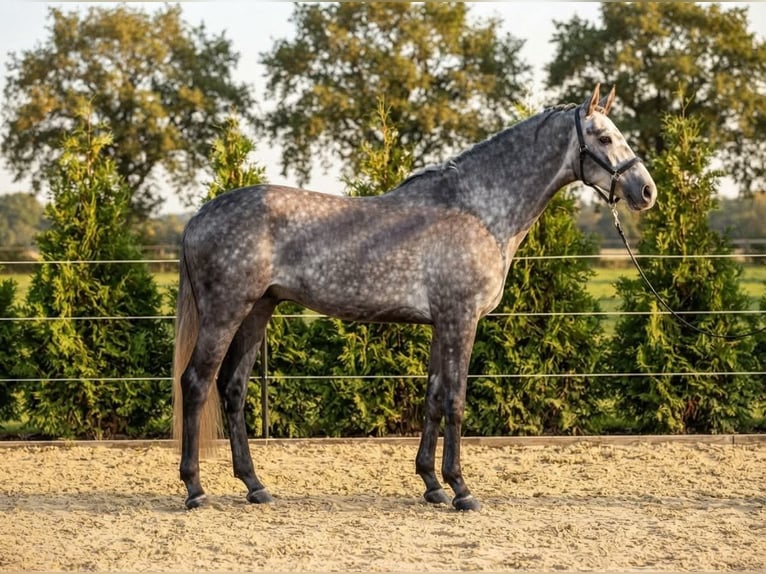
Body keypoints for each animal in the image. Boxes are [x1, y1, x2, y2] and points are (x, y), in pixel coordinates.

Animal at [172, 84, 657, 511]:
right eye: (604, 136)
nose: (646, 191)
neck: (478, 211)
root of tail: (198, 216)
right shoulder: (461, 319)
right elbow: (456, 401)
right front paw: (461, 489)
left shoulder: (441, 323)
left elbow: (434, 397)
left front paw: (431, 484)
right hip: (225, 312)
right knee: (195, 383)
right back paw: (195, 489)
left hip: (258, 311)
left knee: (232, 388)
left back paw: (255, 486)